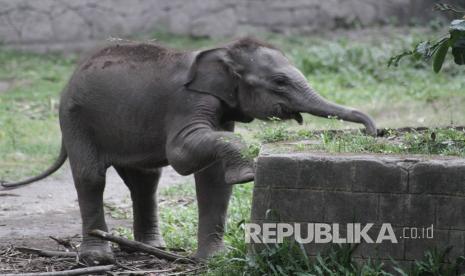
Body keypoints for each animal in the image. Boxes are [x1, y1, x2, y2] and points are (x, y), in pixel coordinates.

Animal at [0, 37, 376, 264]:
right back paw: (99, 258)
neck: (222, 52)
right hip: (76, 120)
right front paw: (247, 174)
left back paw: (153, 249)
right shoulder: (188, 102)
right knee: (91, 176)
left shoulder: (222, 109)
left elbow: (213, 180)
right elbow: (181, 154)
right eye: (280, 81)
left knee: (145, 181)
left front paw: (215, 259)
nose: (372, 131)